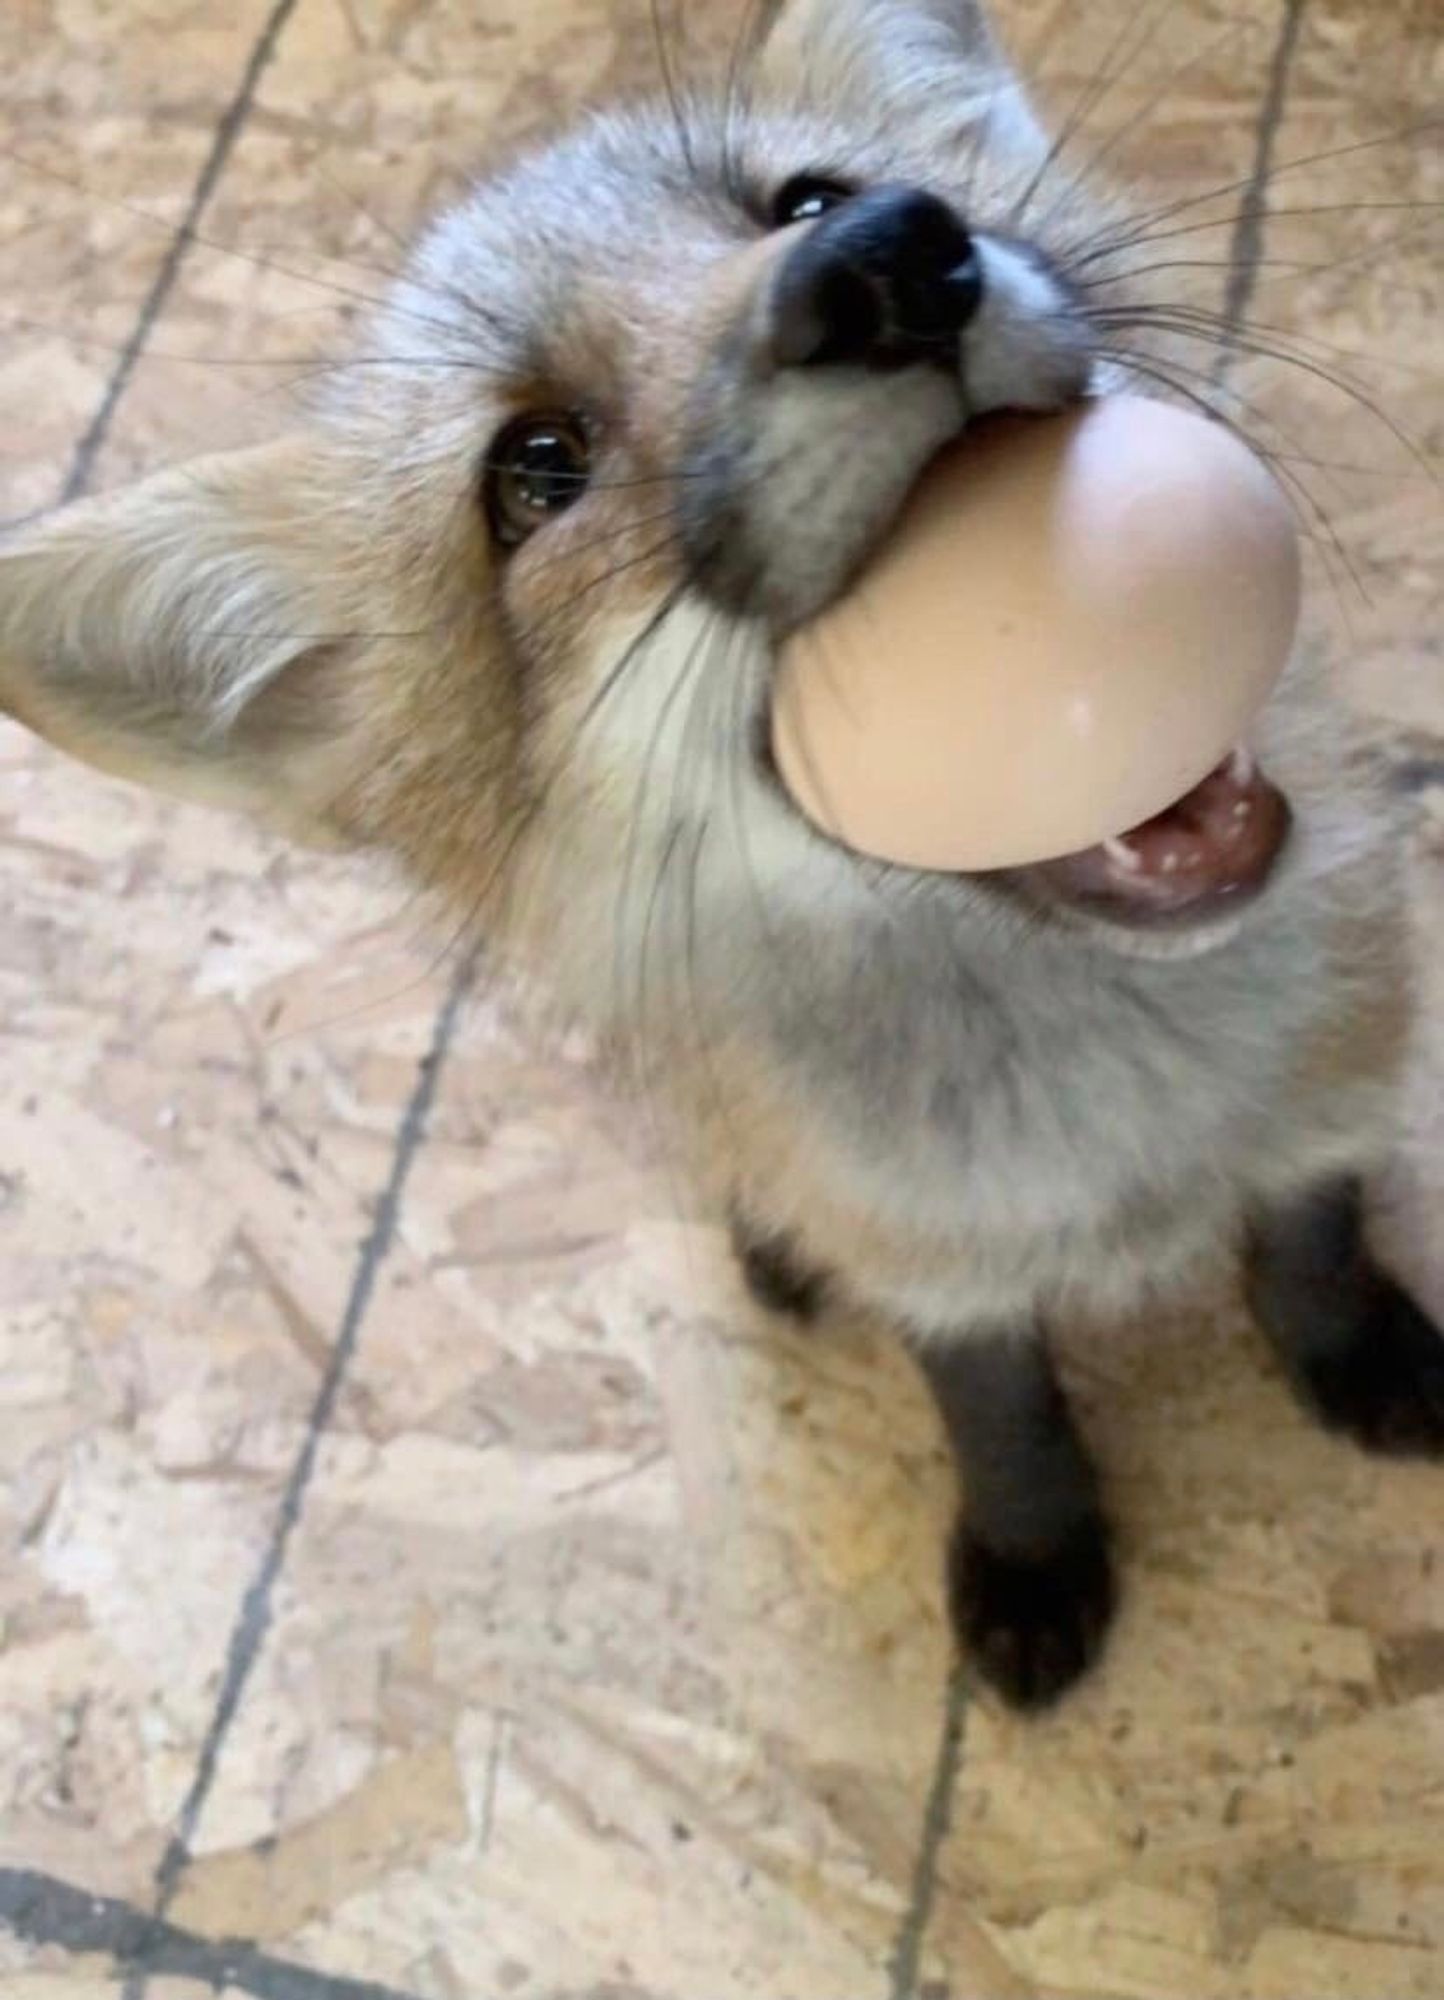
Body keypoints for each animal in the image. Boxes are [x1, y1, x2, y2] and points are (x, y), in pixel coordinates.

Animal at [2, 0, 1440, 1712]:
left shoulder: (1333, 1096)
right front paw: (1032, 1549)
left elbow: (1313, 1253)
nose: (887, 262)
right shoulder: (935, 1266)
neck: (1138, 1137)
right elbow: (999, 1413)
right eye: (535, 471)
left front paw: (1359, 1358)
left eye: (808, 200)